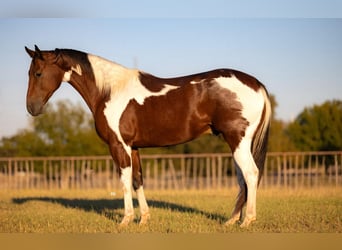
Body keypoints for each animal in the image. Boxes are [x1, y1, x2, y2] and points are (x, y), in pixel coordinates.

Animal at [24, 44, 270, 227]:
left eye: (38, 73)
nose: (31, 108)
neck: (110, 91)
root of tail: (257, 84)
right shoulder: (133, 147)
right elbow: (137, 180)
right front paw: (143, 219)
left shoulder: (119, 145)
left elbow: (124, 180)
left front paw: (126, 219)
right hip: (236, 143)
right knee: (242, 180)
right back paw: (231, 221)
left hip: (238, 141)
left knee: (250, 174)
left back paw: (247, 220)